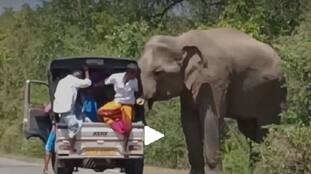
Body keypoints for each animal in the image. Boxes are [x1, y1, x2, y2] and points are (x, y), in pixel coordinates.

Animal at [139, 27, 288, 173]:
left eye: (158, 72)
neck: (179, 41)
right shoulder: (189, 87)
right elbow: (188, 121)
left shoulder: (213, 79)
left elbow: (210, 118)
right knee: (250, 131)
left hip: (275, 93)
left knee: (265, 130)